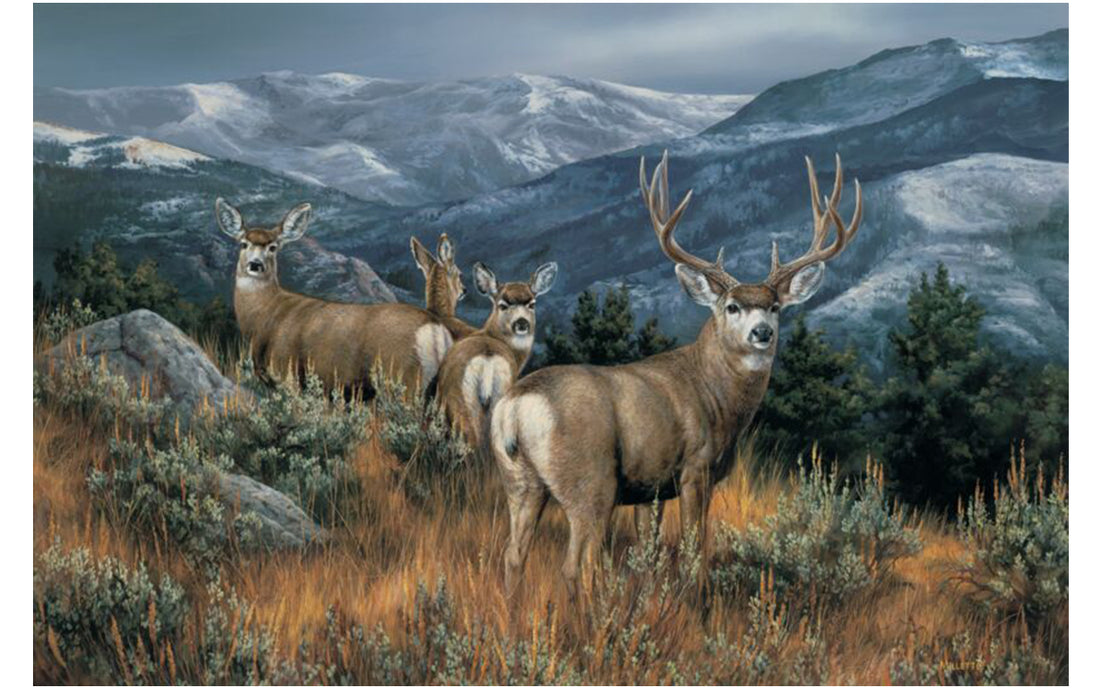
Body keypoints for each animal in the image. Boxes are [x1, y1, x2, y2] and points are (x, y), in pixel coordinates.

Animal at [216, 198, 456, 396]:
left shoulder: (287, 373)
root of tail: (436, 331)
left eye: (273, 247)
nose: (255, 264)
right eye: (243, 243)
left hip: (404, 379)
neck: (266, 314)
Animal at [489, 151, 862, 598]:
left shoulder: (651, 487)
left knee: (513, 556)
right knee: (575, 564)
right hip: (589, 479)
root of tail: (515, 408)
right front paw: (695, 599)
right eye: (732, 306)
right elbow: (693, 547)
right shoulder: (695, 468)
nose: (762, 333)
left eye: (774, 306)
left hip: (519, 481)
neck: (716, 397)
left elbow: (648, 549)